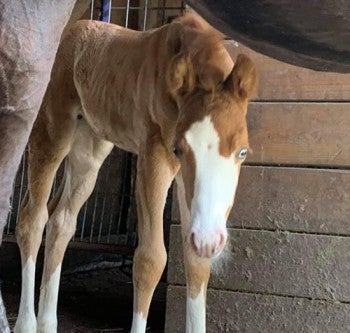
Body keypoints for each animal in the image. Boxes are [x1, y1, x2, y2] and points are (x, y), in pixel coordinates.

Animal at [13, 12, 258, 332]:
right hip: (53, 130)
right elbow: (150, 259)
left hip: (90, 148)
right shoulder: (154, 155)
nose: (209, 240)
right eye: (179, 150)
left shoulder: (186, 184)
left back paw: (47, 323)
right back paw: (26, 324)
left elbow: (196, 263)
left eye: (242, 152)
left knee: (61, 222)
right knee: (32, 219)